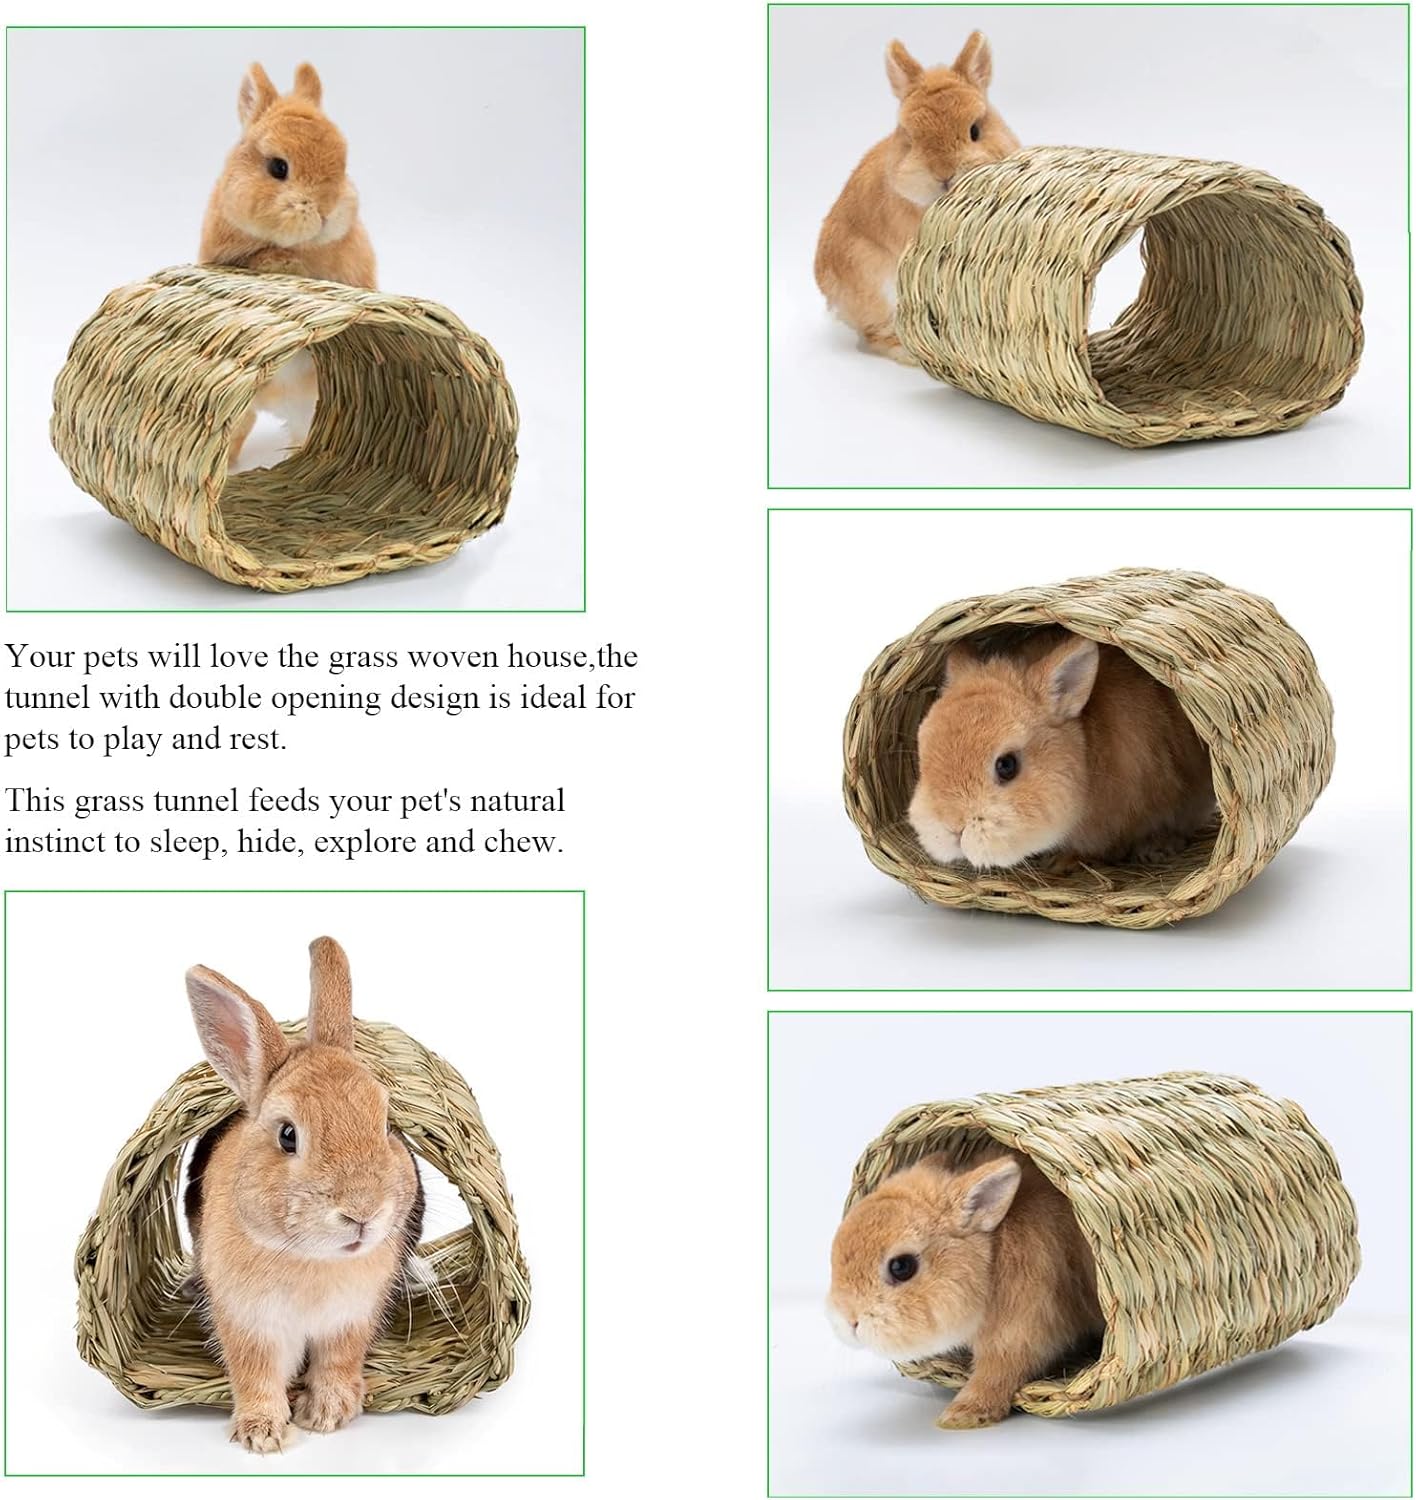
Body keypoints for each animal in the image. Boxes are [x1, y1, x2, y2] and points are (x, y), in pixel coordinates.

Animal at [184, 937, 424, 1453]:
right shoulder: (248, 1325)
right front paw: (261, 1434)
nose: (362, 1213)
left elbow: (337, 1363)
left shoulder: (350, 1321)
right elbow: (255, 1375)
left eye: (385, 1123)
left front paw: (329, 1413)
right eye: (288, 1135)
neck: (312, 1260)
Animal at [828, 1150, 1104, 1429]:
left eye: (901, 1266)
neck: (992, 1261)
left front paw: (961, 1416)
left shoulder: (1020, 1333)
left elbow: (997, 1373)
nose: (848, 1322)